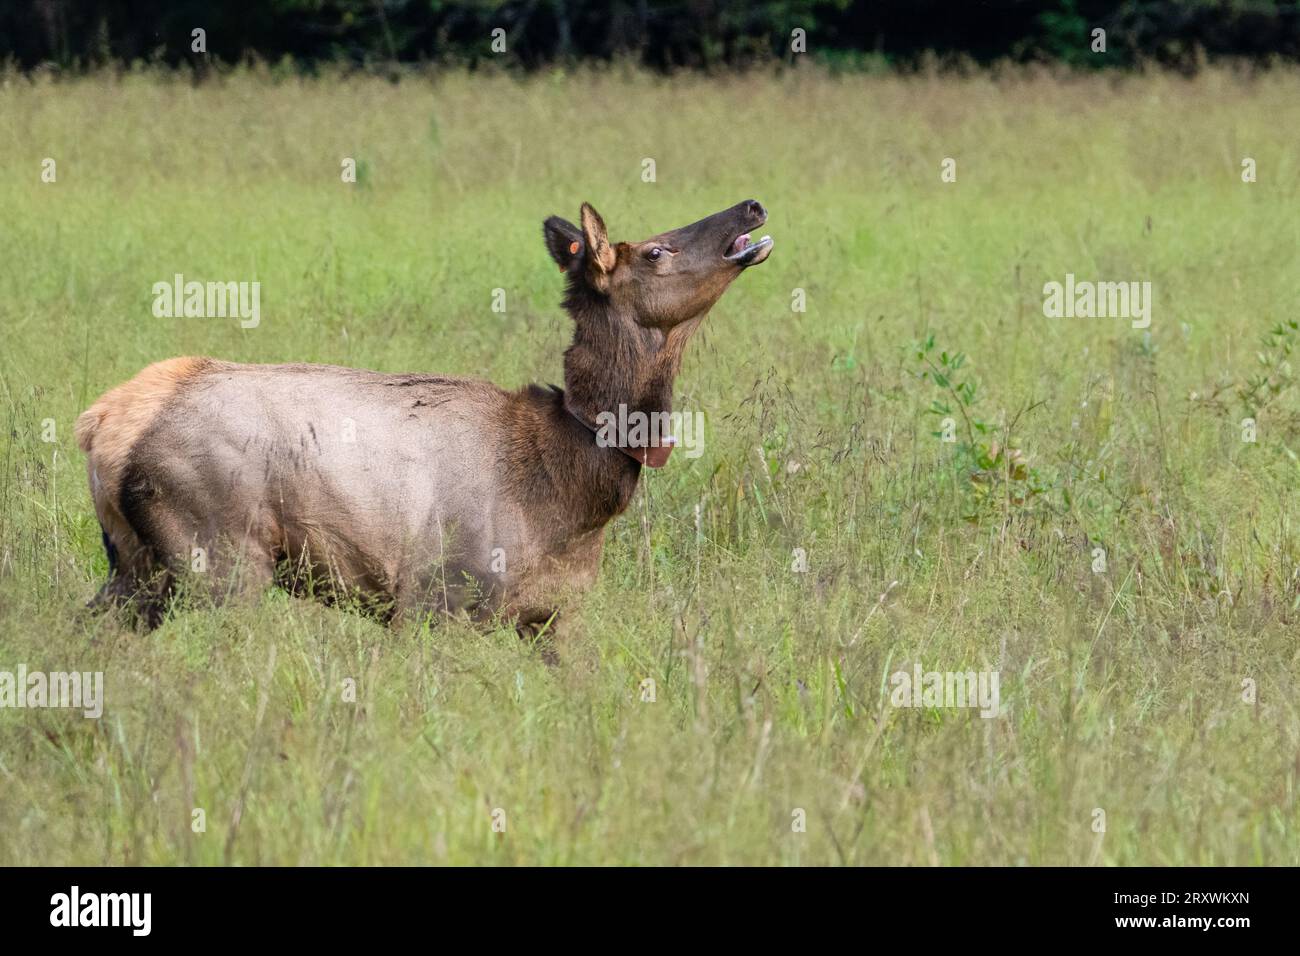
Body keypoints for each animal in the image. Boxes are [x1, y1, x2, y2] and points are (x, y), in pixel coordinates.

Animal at [76, 196, 769, 642]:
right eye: (655, 251)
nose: (752, 206)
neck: (573, 491)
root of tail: (102, 424)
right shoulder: (438, 600)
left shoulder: (552, 618)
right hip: (219, 559)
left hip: (135, 569)